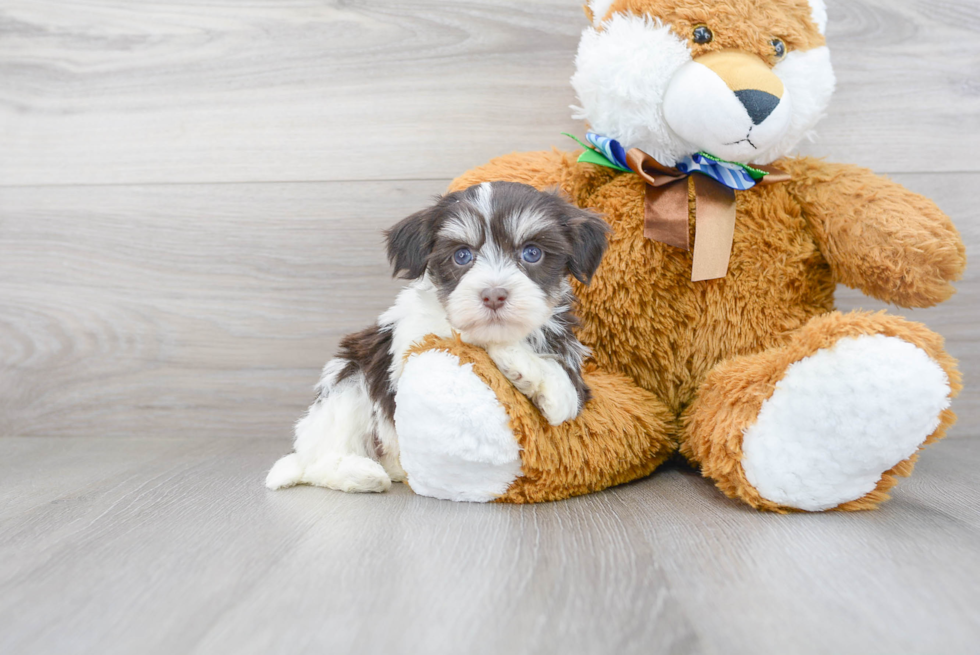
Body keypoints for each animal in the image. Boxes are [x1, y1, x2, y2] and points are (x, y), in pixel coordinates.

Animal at [264, 182, 608, 494]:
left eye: (532, 253)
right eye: (462, 255)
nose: (494, 295)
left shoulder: (566, 347)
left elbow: (568, 393)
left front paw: (534, 376)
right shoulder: (406, 344)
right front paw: (509, 355)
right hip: (348, 382)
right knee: (322, 457)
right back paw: (361, 474)